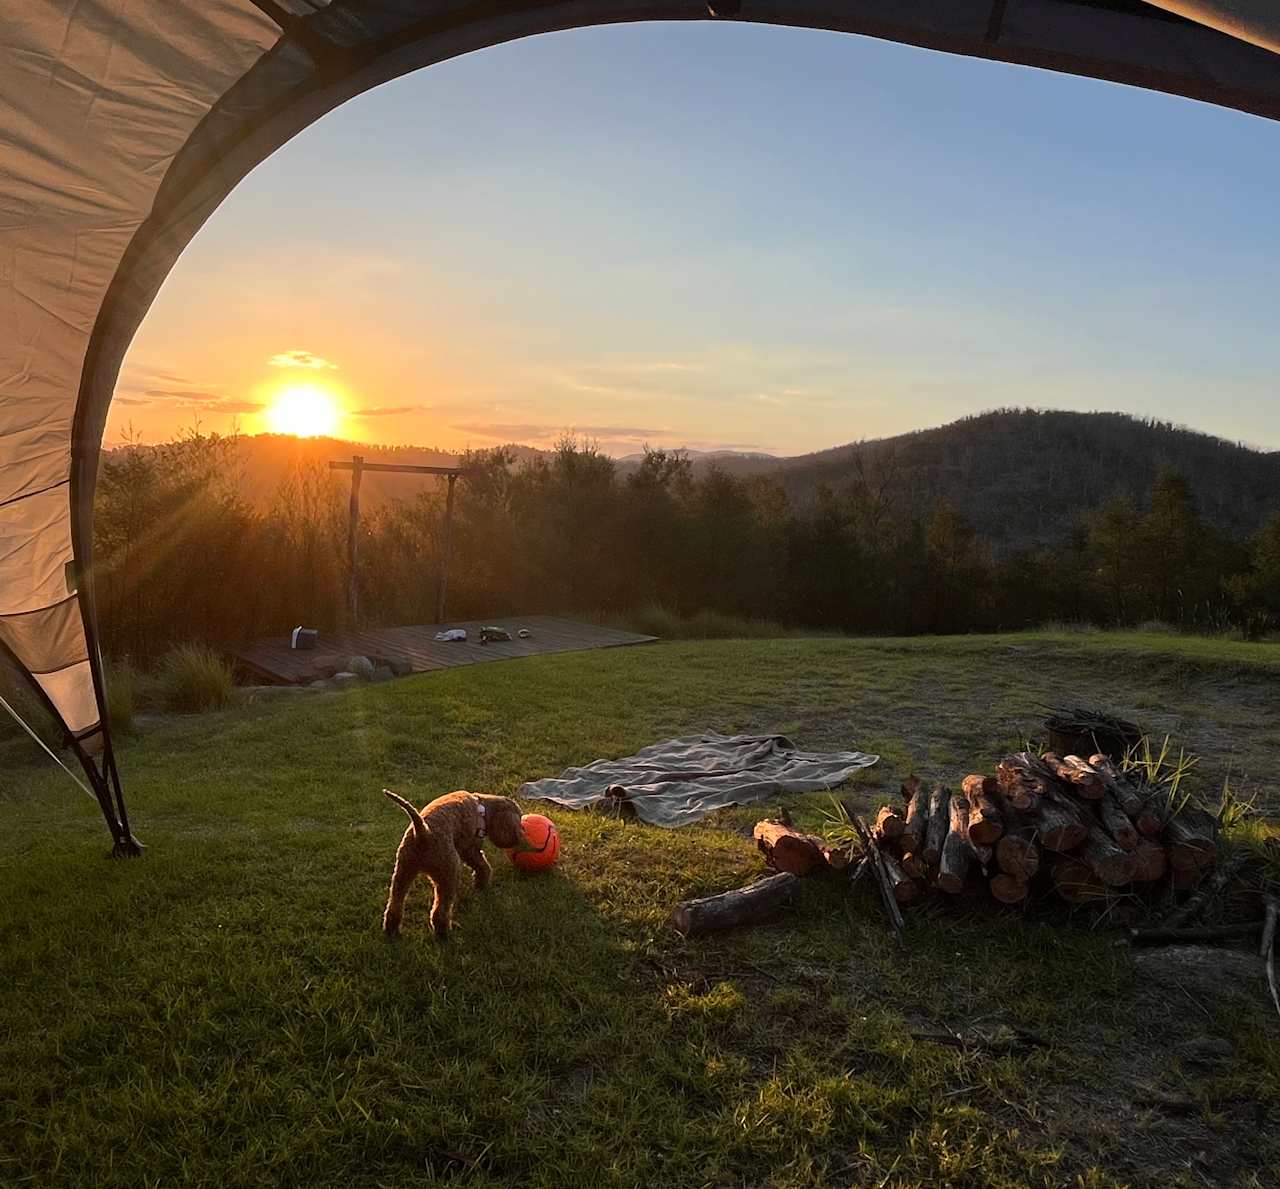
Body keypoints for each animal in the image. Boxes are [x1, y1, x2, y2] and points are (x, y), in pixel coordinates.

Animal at [378, 788, 524, 936]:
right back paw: (444, 932)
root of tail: (423, 832)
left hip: (403, 871)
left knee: (394, 904)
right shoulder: (470, 849)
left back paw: (391, 930)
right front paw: (481, 885)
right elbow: (482, 866)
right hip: (448, 872)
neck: (481, 807)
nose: (520, 836)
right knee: (440, 910)